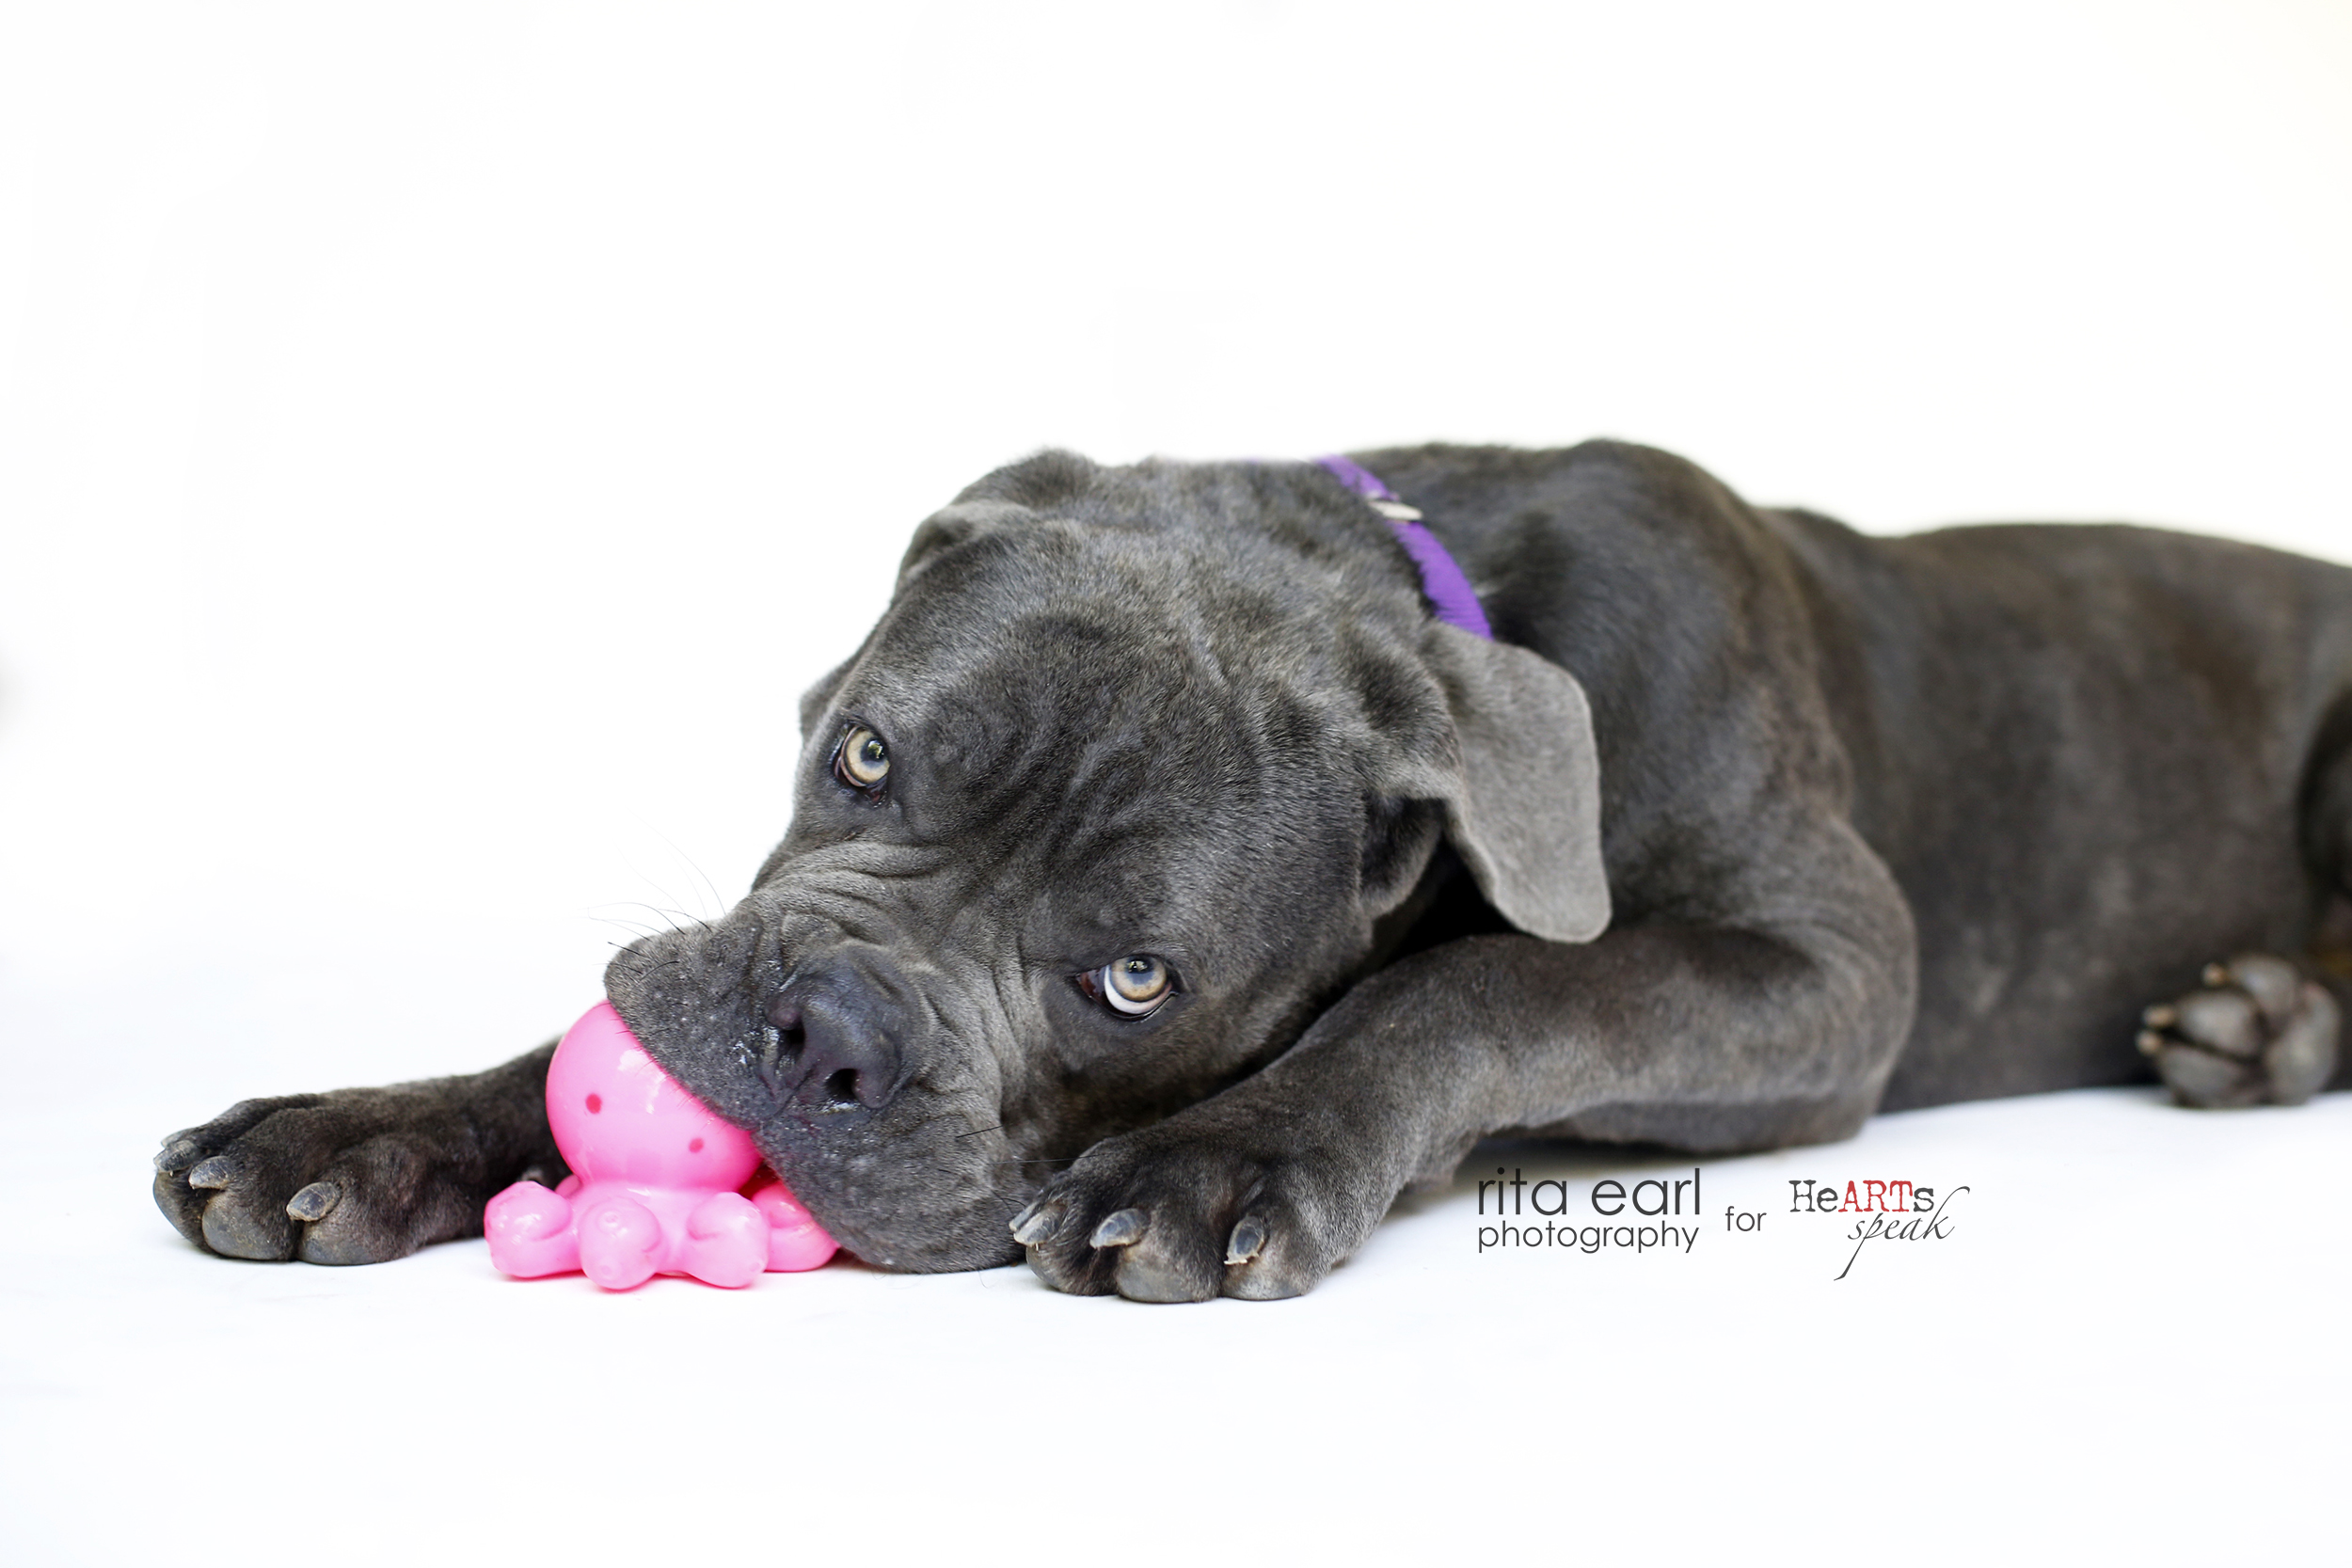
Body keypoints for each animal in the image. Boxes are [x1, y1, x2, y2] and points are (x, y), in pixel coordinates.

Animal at [156, 441, 2343, 1297]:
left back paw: (2274, 1021)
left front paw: (1223, 1159)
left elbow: (1489, 976)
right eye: (861, 747)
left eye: (1134, 979)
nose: (818, 1028)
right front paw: (356, 1126)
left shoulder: (1817, 965)